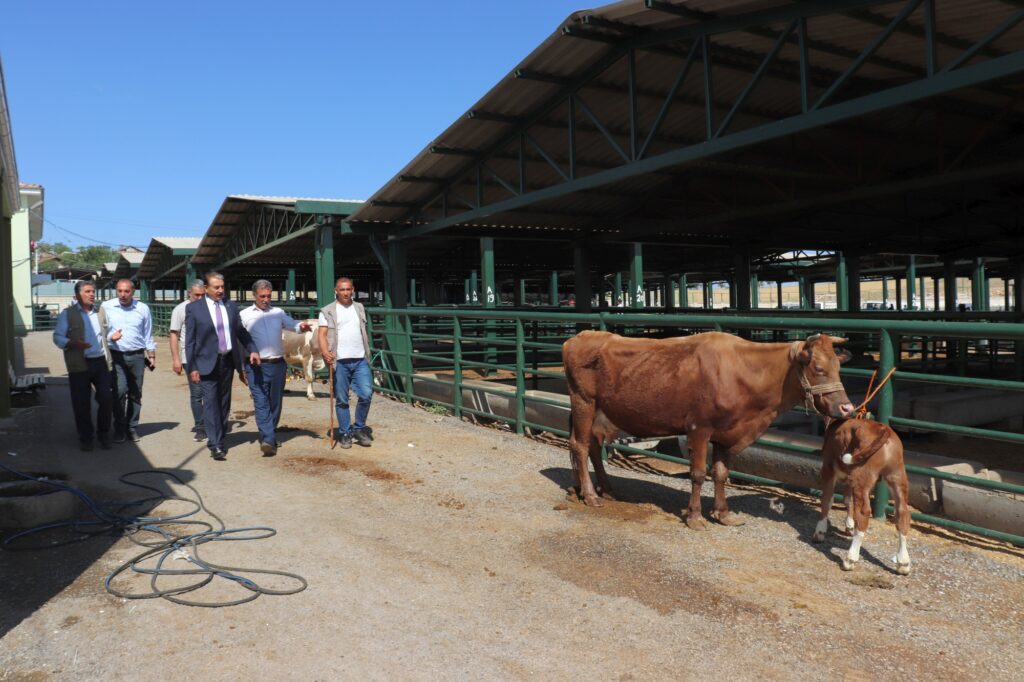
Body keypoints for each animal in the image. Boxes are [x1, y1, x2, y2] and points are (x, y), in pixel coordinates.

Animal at [561, 329, 856, 524]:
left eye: (838, 367)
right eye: (818, 368)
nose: (847, 408)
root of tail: (579, 337)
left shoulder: (728, 433)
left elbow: (721, 473)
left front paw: (723, 514)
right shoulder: (699, 429)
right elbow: (698, 474)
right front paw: (695, 516)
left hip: (600, 411)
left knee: (592, 445)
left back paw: (602, 489)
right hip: (584, 401)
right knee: (579, 445)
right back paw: (591, 495)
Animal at [815, 417, 913, 569]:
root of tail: (883, 429)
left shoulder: (828, 468)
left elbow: (827, 499)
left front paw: (820, 531)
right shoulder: (848, 477)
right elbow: (847, 499)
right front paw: (849, 525)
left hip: (862, 475)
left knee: (863, 513)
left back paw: (851, 558)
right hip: (897, 475)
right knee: (902, 512)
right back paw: (903, 562)